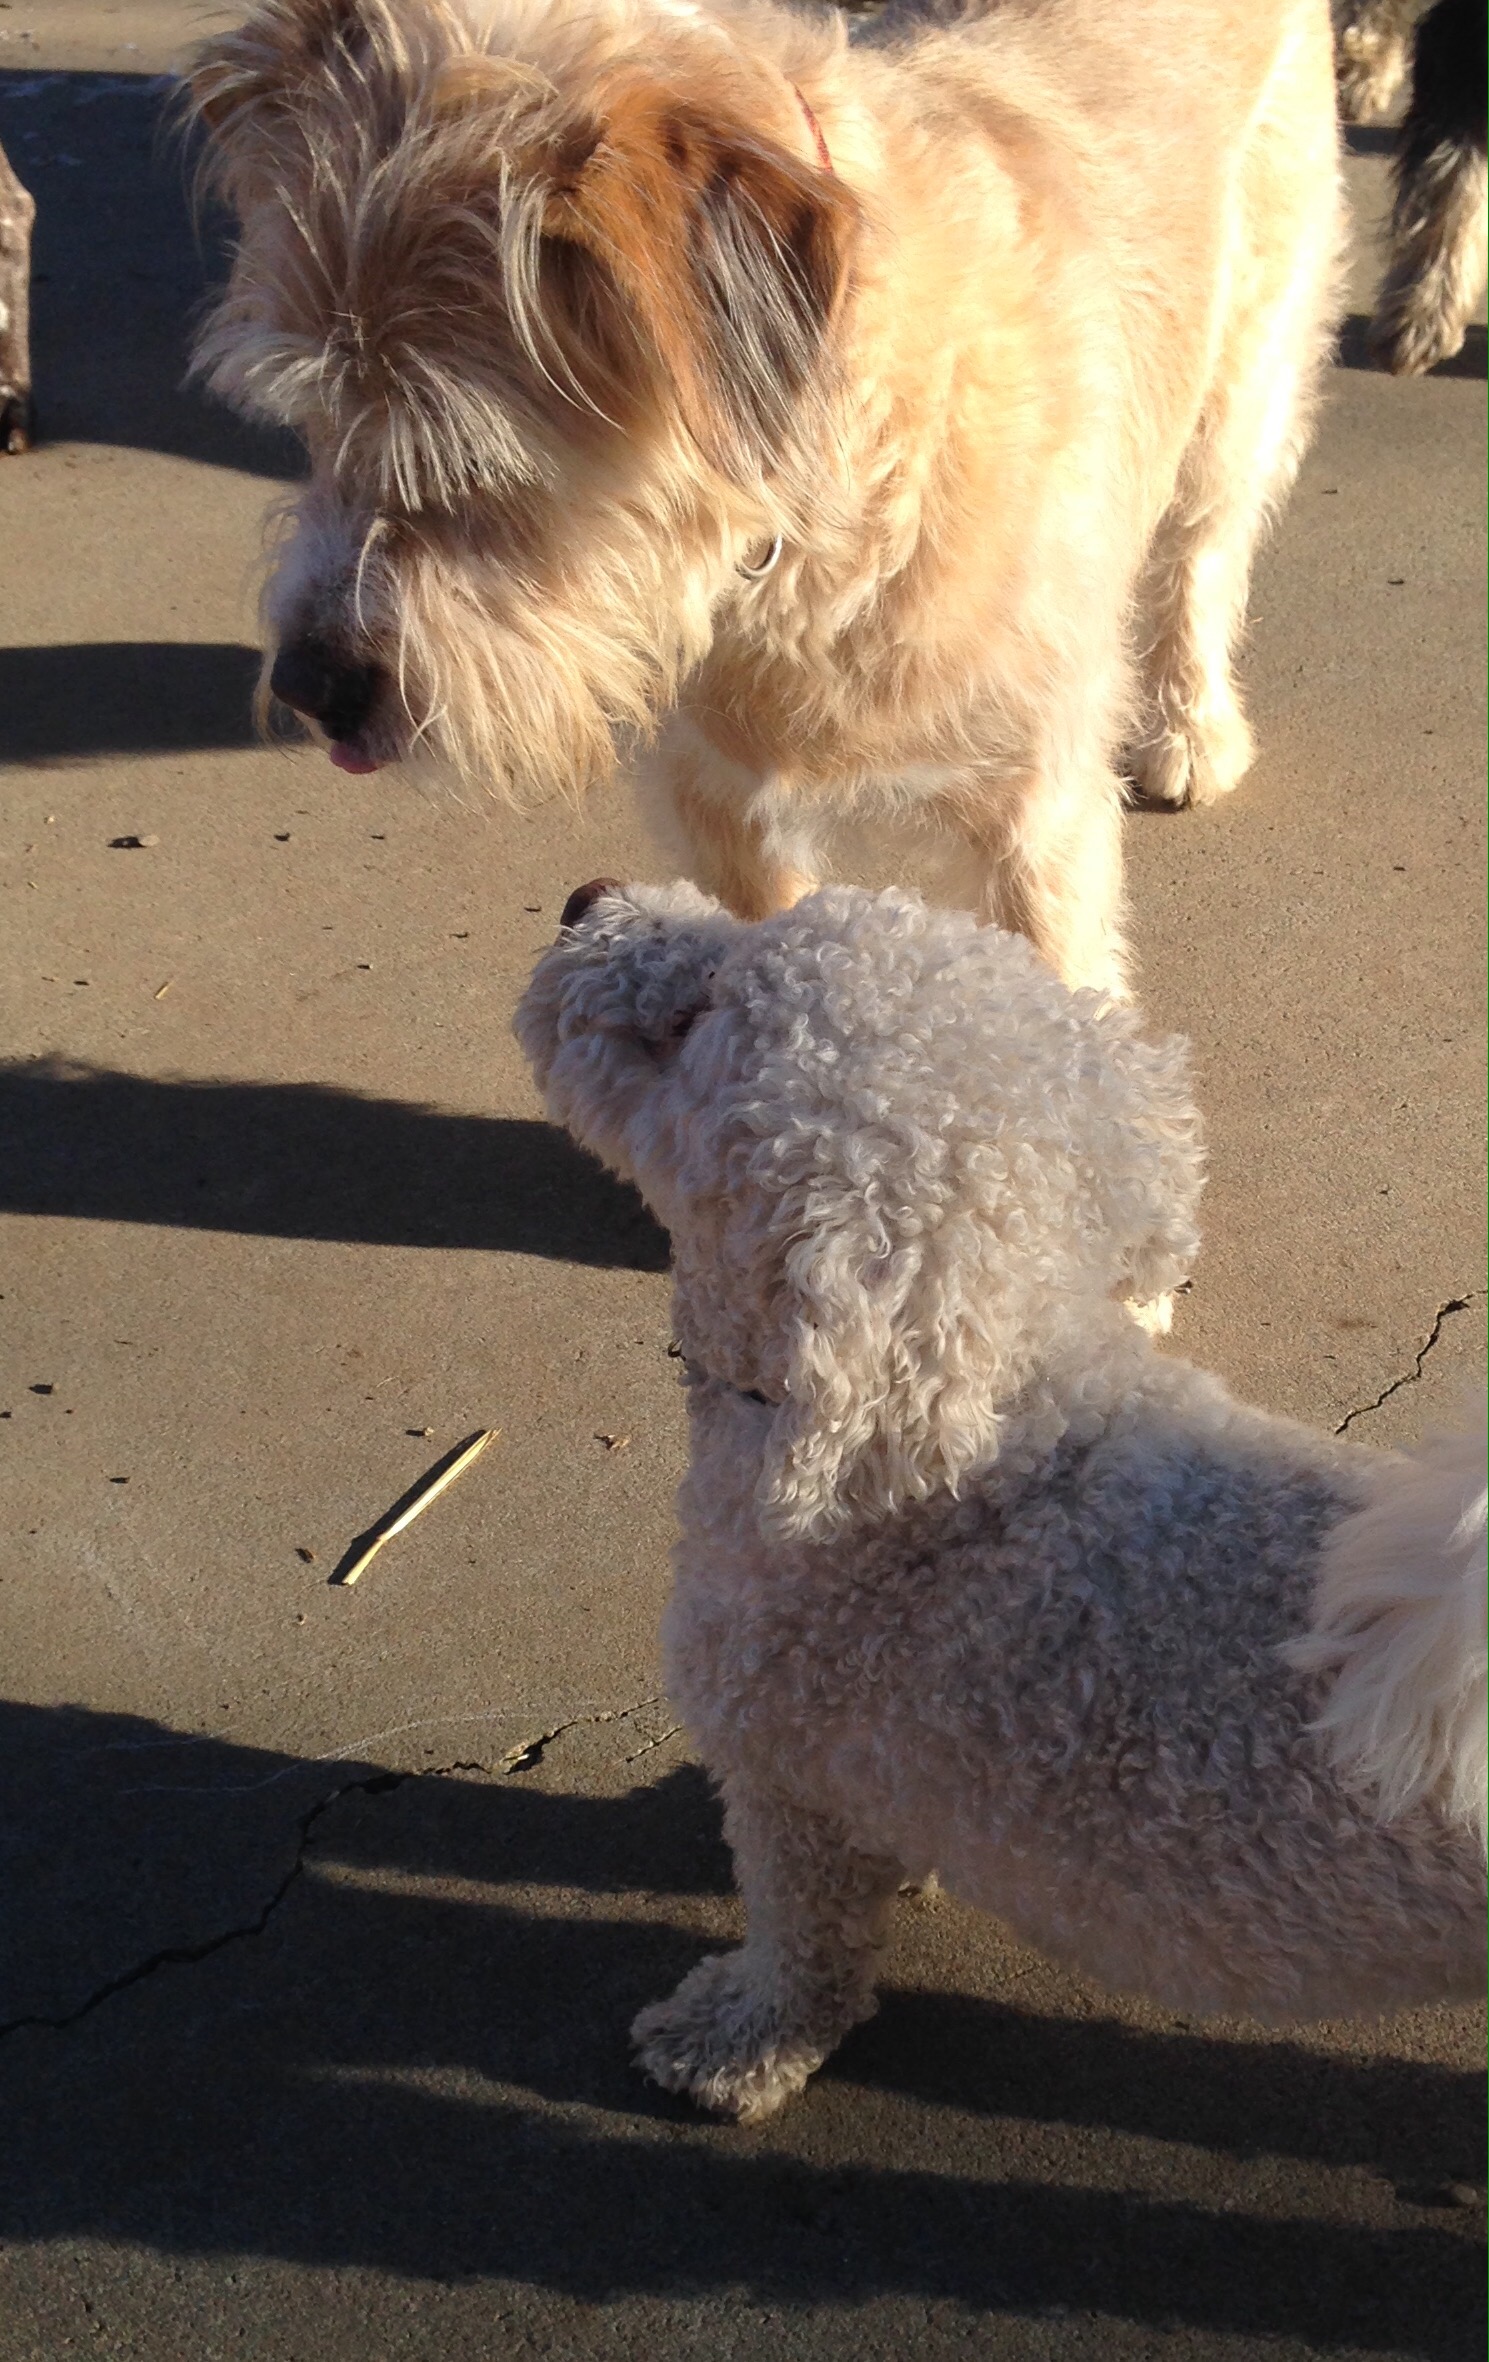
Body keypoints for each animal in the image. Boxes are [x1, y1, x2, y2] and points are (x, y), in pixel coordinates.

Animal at [187, 0, 1343, 999]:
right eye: (310, 421)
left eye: (464, 452)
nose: (308, 685)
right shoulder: (714, 797)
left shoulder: (1037, 809)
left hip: (1241, 383)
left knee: (1201, 552)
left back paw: (1189, 727)